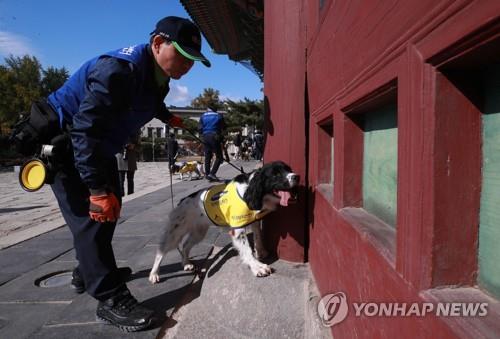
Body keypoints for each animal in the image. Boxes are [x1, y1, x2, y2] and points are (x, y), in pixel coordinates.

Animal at [147, 161, 296, 282]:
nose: (296, 177)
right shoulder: (238, 229)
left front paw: (261, 252)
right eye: (275, 174)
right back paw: (154, 274)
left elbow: (258, 238)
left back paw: (186, 263)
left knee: (185, 246)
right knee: (160, 252)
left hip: (198, 232)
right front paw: (257, 267)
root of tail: (182, 201)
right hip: (175, 232)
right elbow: (247, 250)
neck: (248, 191)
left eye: (289, 169)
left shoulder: (253, 221)